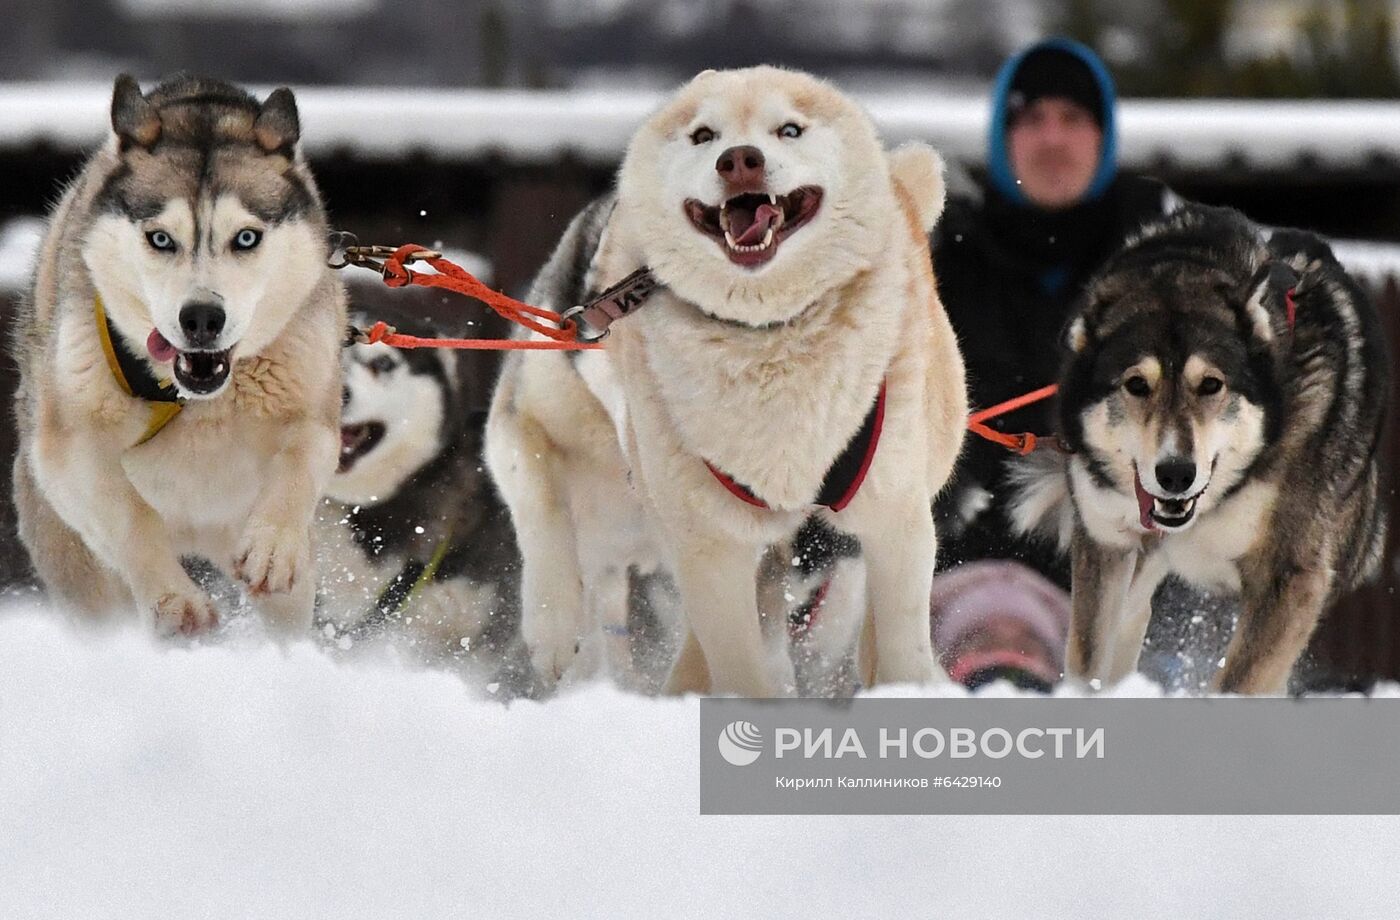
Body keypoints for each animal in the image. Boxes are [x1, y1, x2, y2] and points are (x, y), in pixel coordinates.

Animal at [15, 75, 348, 635]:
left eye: (246, 237)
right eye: (161, 238)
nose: (201, 319)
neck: (195, 399)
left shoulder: (309, 400)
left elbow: (302, 456)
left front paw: (273, 543)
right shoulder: (71, 444)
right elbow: (131, 514)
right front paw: (174, 598)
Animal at [487, 66, 968, 697]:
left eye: (789, 130)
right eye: (703, 135)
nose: (740, 160)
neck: (763, 334)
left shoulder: (892, 512)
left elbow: (899, 632)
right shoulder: (531, 426)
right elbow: (538, 498)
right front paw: (551, 623)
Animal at [1008, 204, 1388, 691]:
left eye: (1211, 385)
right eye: (1136, 385)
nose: (1175, 473)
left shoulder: (1291, 578)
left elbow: (1240, 682)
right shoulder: (1105, 538)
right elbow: (1086, 658)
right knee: (1133, 614)